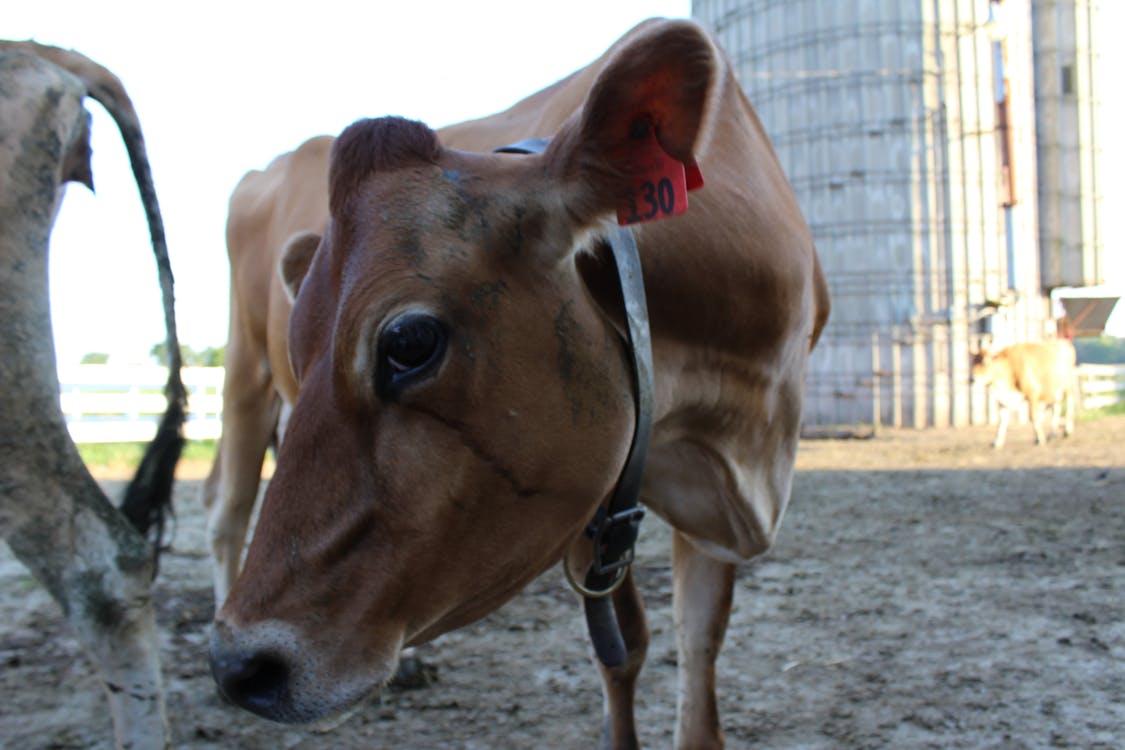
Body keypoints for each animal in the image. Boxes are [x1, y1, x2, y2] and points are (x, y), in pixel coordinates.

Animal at [211, 19, 832, 750]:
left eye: (408, 342)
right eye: (299, 344)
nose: (239, 667)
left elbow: (699, 647)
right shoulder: (595, 501)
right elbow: (623, 651)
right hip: (243, 370)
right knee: (226, 509)